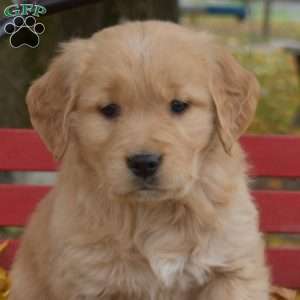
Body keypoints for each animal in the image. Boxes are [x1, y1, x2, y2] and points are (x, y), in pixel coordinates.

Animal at [9, 21, 268, 300]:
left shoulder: (232, 269)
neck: (155, 211)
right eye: (109, 109)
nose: (144, 162)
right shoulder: (91, 282)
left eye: (179, 105)